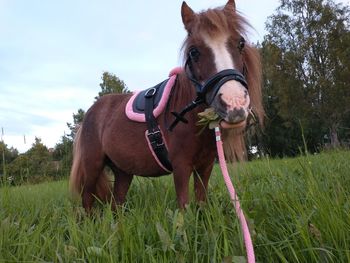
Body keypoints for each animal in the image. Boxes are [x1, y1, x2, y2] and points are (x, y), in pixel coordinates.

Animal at [70, 0, 262, 213]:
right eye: (193, 51)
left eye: (241, 43)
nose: (234, 103)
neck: (190, 117)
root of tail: (90, 113)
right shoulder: (181, 167)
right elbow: (184, 207)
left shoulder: (205, 167)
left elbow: (201, 204)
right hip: (92, 167)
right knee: (87, 201)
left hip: (123, 172)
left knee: (116, 204)